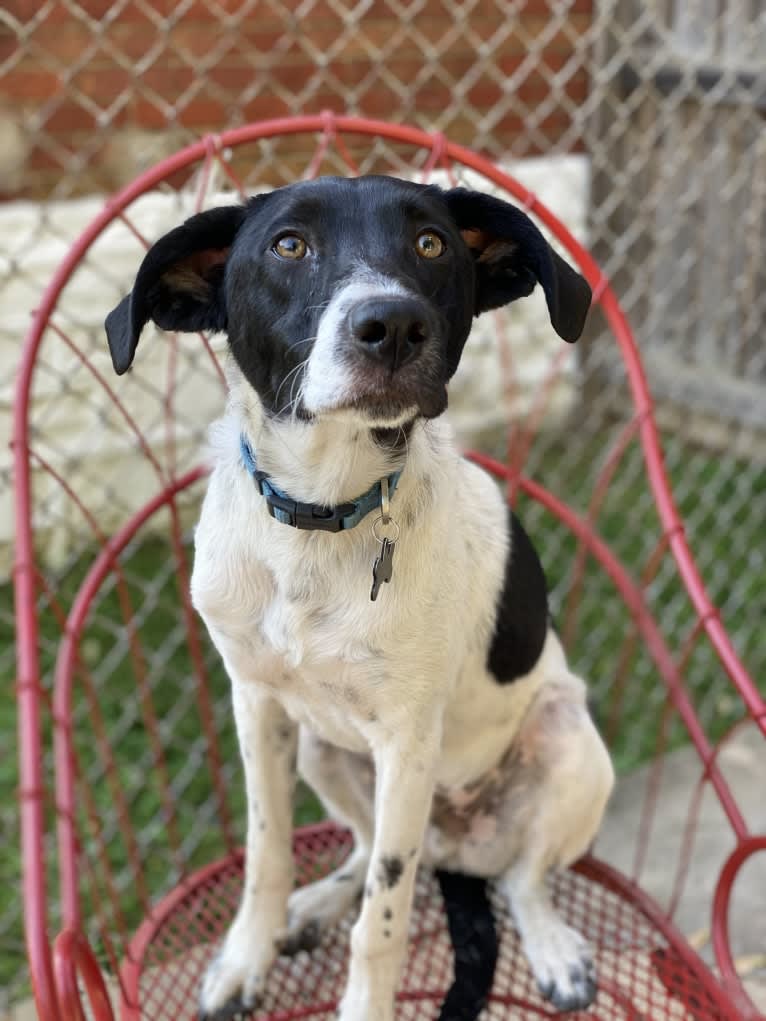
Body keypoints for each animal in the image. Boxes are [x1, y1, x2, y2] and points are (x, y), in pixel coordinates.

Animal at [105, 175, 616, 1021]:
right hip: (325, 751)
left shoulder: (407, 741)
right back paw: (315, 906)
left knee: (523, 877)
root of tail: (453, 844)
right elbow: (267, 852)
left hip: (568, 742)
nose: (393, 327)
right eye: (288, 244)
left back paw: (551, 946)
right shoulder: (257, 702)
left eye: (431, 243)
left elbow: (382, 922)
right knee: (364, 847)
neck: (320, 515)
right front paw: (246, 956)